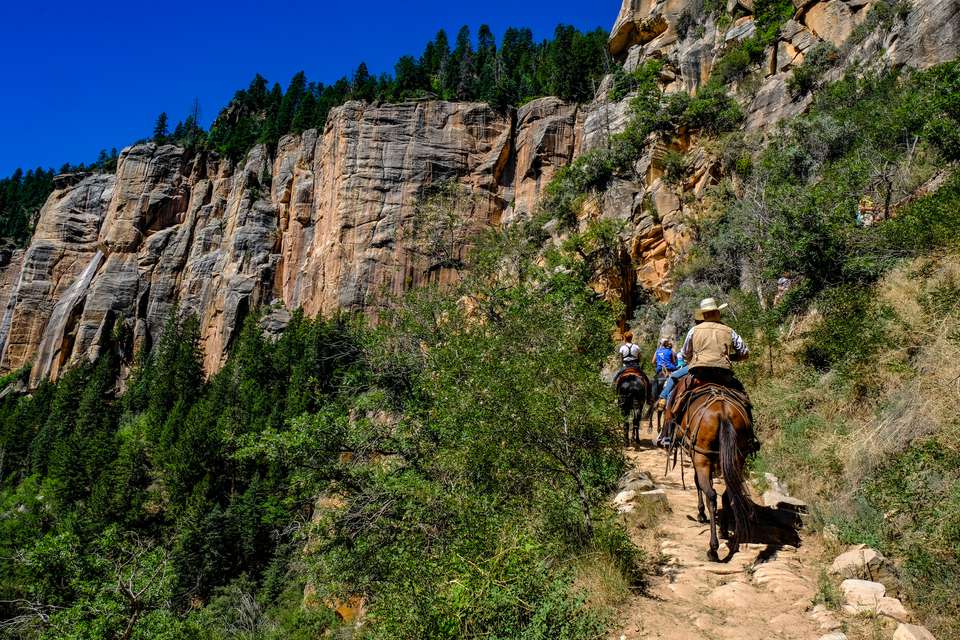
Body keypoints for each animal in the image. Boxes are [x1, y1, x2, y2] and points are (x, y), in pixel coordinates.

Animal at [676, 384, 756, 560]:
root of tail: (723, 412)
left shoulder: (698, 458)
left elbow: (698, 483)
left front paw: (700, 513)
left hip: (702, 457)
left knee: (712, 495)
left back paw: (713, 548)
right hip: (737, 458)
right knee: (728, 493)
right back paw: (723, 531)